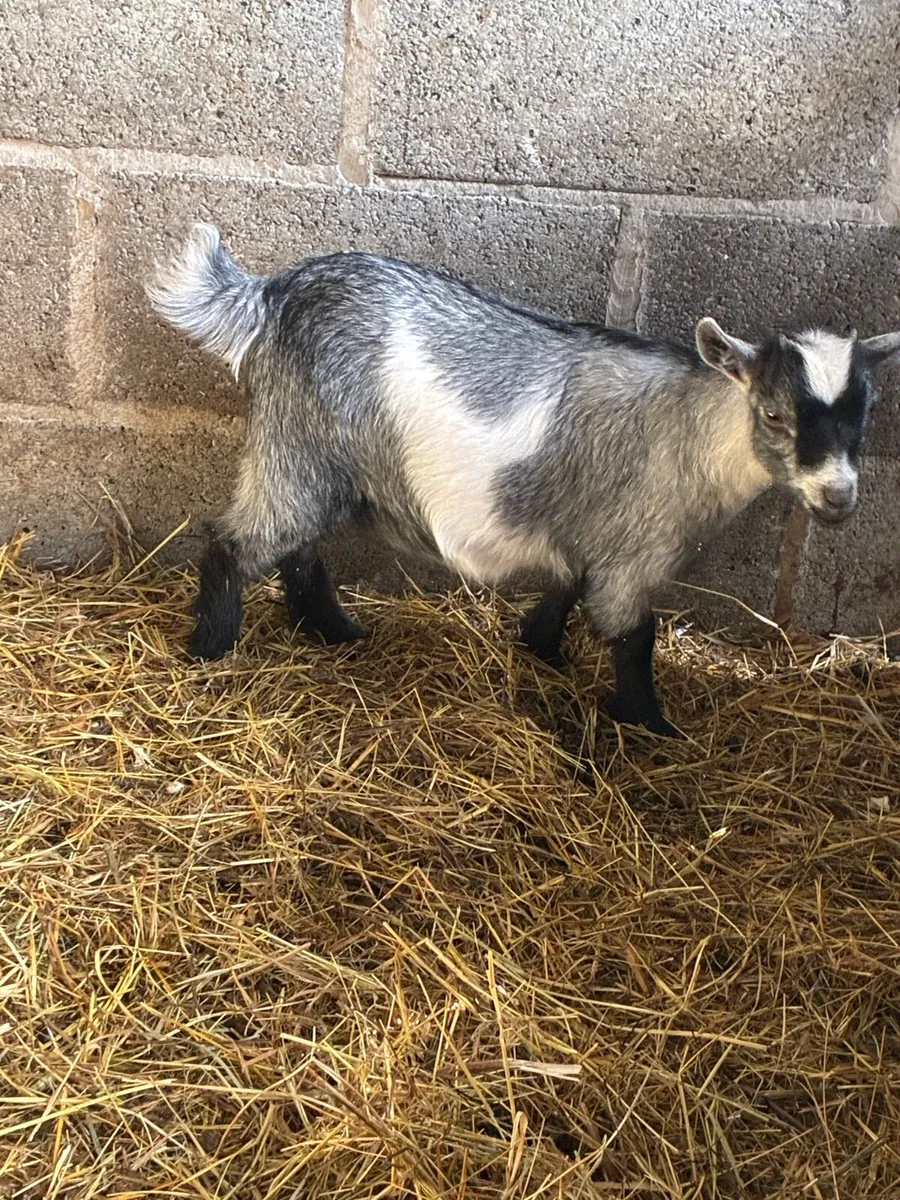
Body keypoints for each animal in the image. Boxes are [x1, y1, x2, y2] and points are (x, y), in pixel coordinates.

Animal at [147, 223, 900, 737]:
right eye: (774, 414)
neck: (693, 428)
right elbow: (635, 635)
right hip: (295, 441)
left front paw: (539, 650)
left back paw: (336, 633)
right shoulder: (633, 551)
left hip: (309, 455)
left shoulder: (583, 538)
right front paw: (653, 727)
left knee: (297, 551)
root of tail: (272, 293)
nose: (838, 496)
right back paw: (210, 650)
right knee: (235, 544)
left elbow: (561, 594)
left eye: (865, 414)